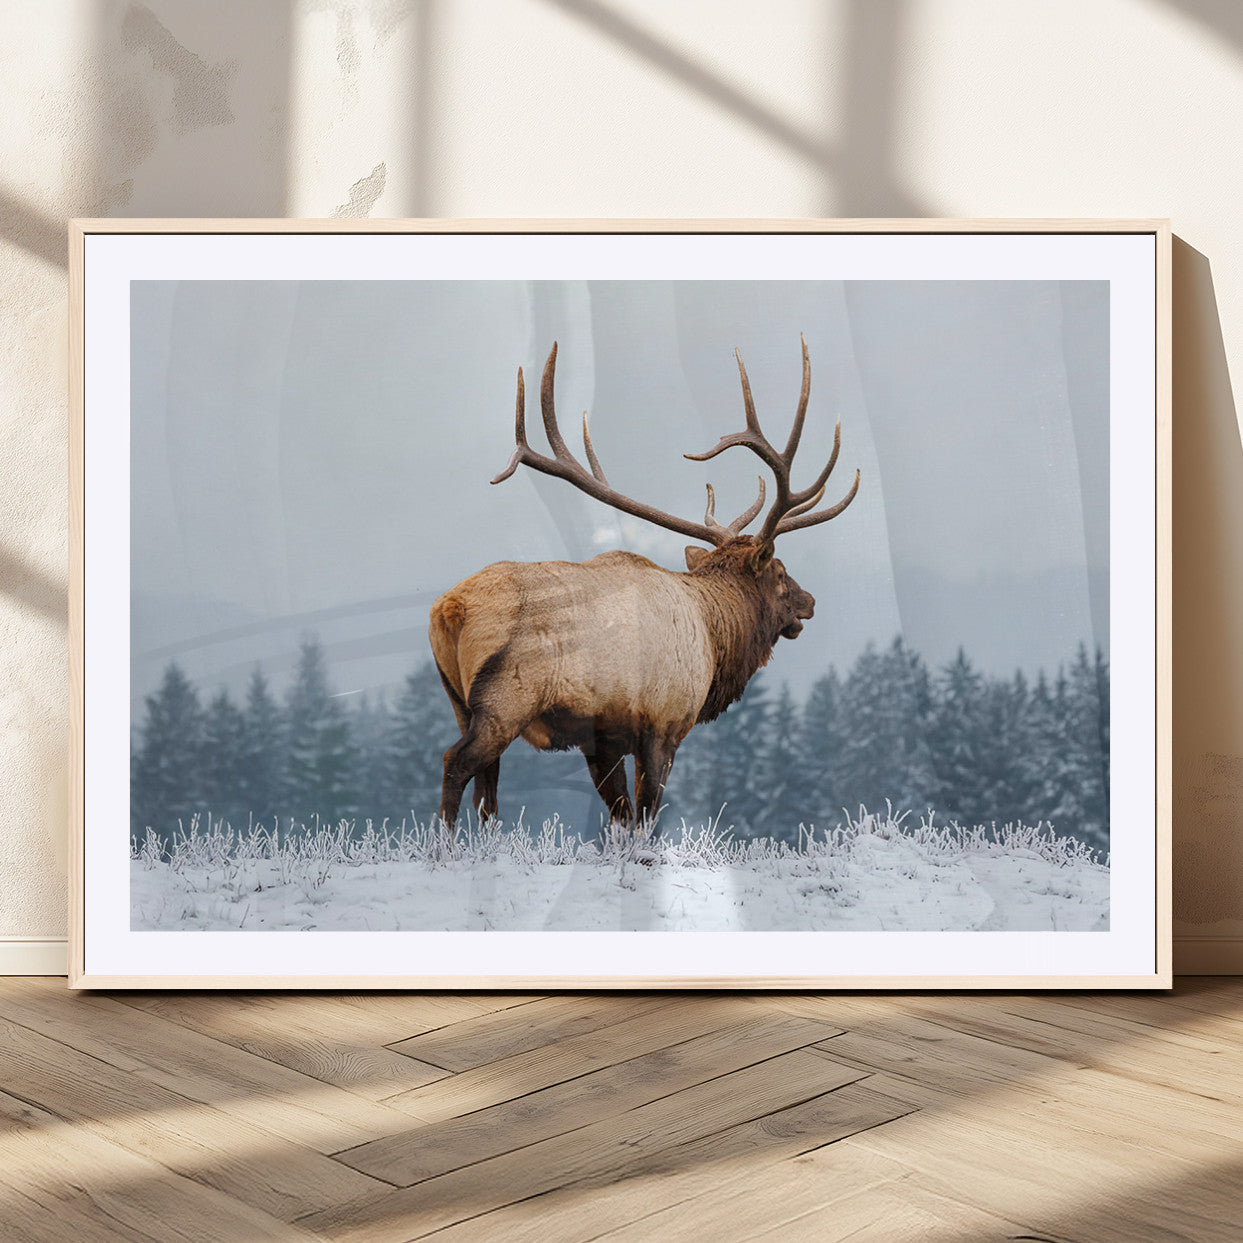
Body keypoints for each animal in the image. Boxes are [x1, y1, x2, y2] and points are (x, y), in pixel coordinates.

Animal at [429, 335, 860, 831]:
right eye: (781, 572)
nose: (810, 601)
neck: (714, 639)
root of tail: (449, 609)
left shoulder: (603, 740)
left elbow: (621, 815)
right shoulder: (663, 723)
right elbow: (647, 816)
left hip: (458, 701)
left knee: (487, 788)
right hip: (506, 699)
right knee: (456, 763)